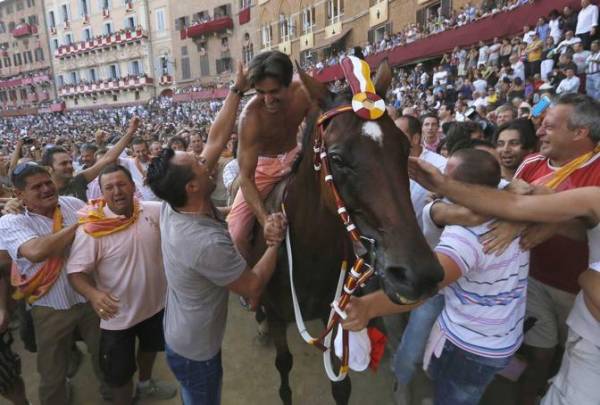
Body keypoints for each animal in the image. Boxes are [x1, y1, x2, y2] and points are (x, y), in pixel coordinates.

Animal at [250, 60, 446, 404]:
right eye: (338, 158)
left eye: (404, 148)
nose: (417, 273)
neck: (310, 253)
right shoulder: (277, 316)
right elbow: (283, 364)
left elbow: (341, 385)